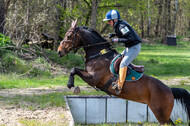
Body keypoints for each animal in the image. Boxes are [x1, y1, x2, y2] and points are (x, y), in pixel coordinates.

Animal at [57, 19, 190, 125]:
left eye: (69, 36)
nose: (59, 51)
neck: (99, 54)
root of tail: (170, 90)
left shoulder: (93, 78)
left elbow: (73, 70)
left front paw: (72, 86)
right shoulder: (89, 75)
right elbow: (74, 70)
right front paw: (72, 85)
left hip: (161, 115)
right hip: (163, 116)